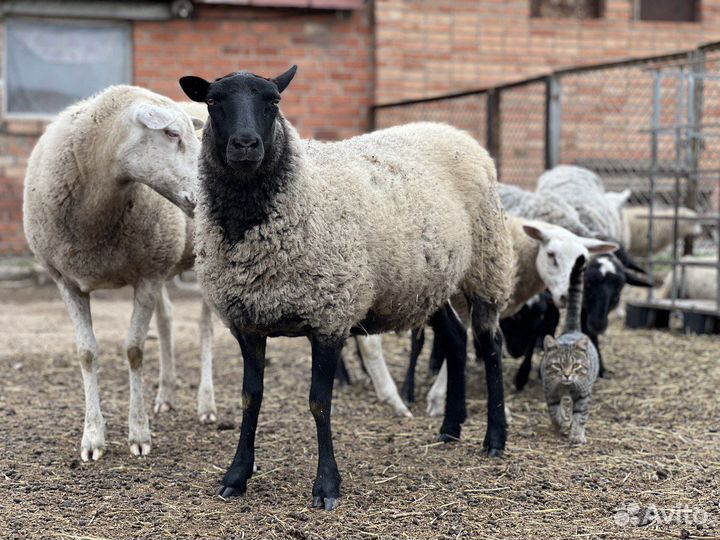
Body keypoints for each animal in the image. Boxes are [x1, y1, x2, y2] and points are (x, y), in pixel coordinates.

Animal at [23, 85, 215, 461]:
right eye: (172, 134)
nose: (206, 193)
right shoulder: (66, 282)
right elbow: (86, 353)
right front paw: (92, 438)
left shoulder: (147, 276)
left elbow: (134, 350)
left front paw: (138, 434)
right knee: (167, 320)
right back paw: (165, 396)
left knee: (204, 327)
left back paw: (206, 405)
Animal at [179, 66, 515, 509]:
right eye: (213, 101)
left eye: (273, 101)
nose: (246, 145)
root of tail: (452, 130)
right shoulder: (247, 322)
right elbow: (251, 397)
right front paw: (236, 476)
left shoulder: (330, 316)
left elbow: (319, 402)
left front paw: (326, 486)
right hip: (429, 279)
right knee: (456, 339)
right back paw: (450, 427)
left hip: (486, 263)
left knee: (489, 344)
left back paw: (494, 438)